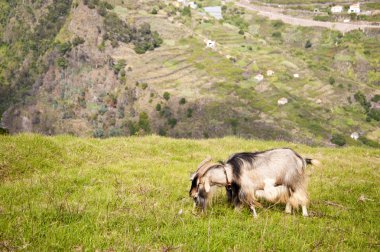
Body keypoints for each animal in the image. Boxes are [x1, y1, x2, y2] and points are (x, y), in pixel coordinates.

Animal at [189, 149, 320, 218]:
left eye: (199, 184)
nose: (191, 194)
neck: (232, 171)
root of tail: (301, 158)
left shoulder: (246, 189)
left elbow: (251, 203)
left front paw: (255, 217)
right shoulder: (238, 190)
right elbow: (238, 203)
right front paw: (237, 213)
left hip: (295, 180)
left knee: (300, 196)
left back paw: (305, 214)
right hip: (288, 183)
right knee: (290, 196)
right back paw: (287, 211)